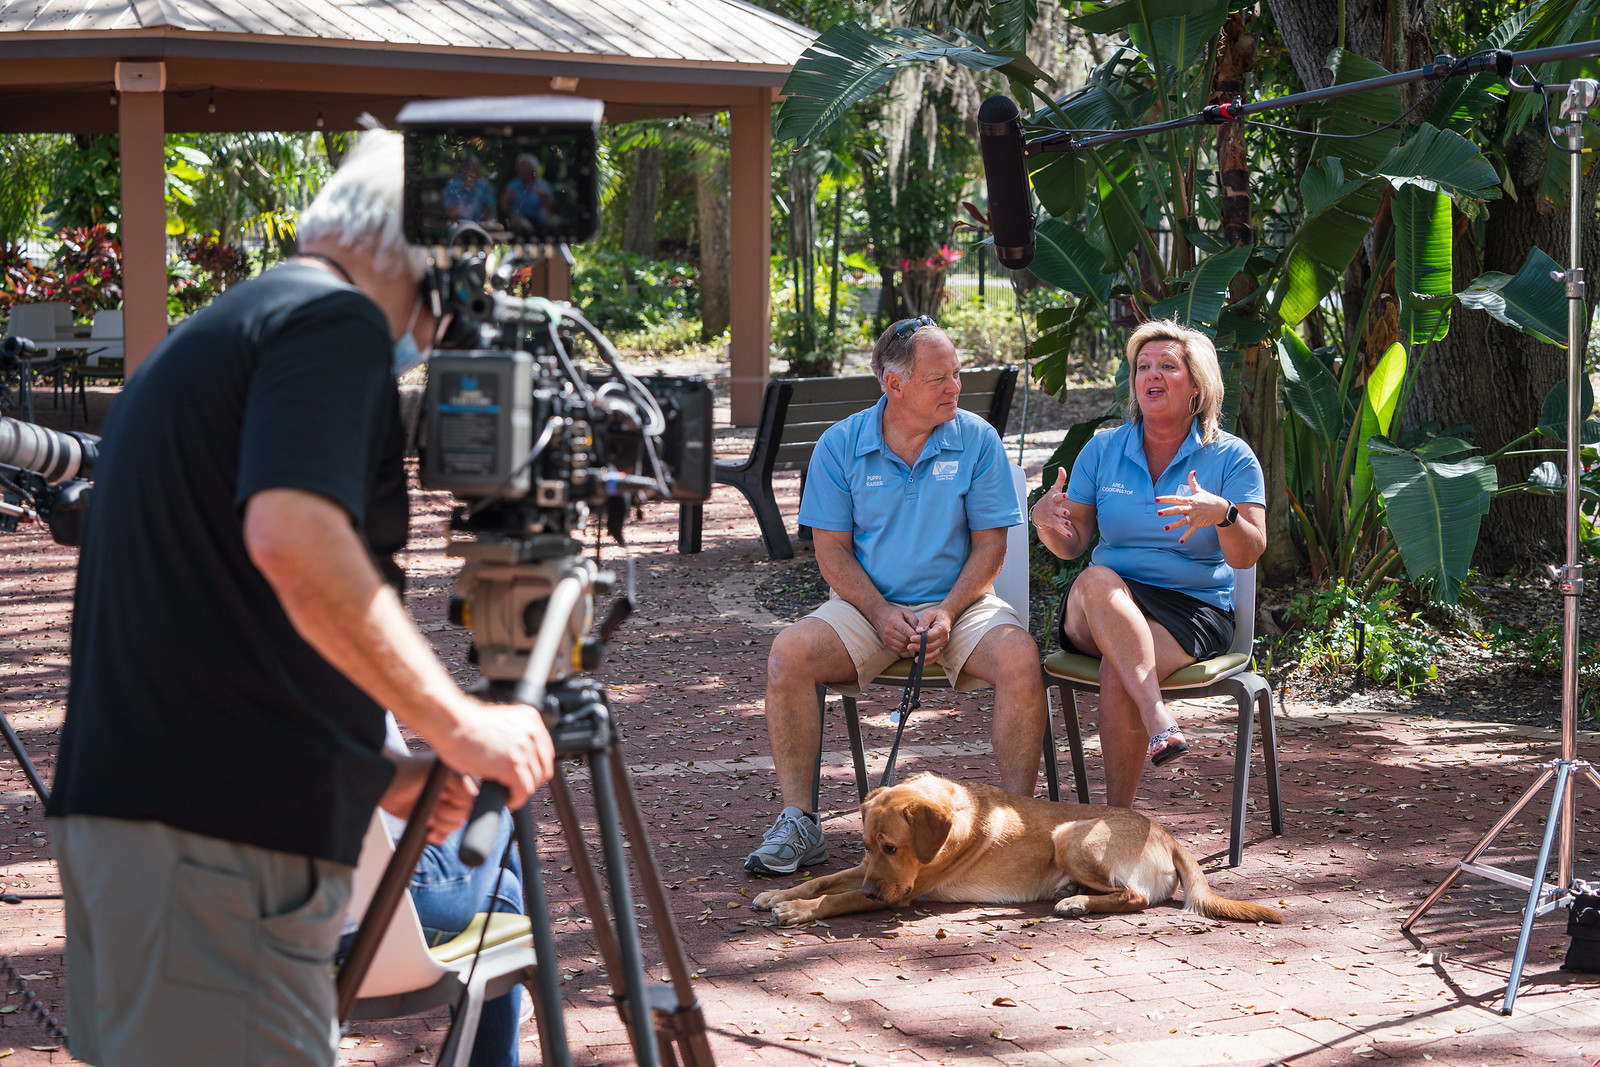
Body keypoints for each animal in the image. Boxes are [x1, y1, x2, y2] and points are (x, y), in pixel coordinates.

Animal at [752, 777, 1286, 927]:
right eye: (868, 844)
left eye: (893, 846)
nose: (872, 892)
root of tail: (1165, 831)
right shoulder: (866, 871)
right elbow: (826, 880)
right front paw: (780, 896)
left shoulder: (900, 889)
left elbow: (837, 897)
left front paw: (798, 910)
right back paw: (1072, 893)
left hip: (1068, 835)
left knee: (1133, 896)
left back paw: (1076, 901)